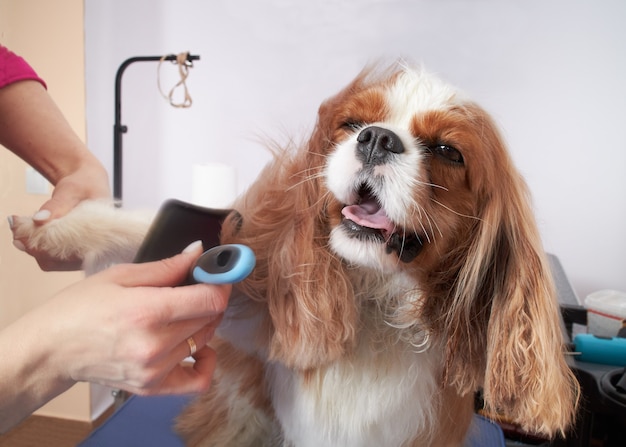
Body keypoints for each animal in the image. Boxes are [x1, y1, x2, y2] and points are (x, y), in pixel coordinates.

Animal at [12, 64, 576, 447]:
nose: (376, 139)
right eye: (352, 124)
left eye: (447, 152)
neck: (376, 299)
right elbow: (144, 226)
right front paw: (52, 226)